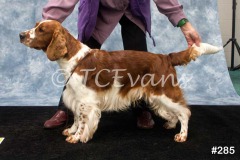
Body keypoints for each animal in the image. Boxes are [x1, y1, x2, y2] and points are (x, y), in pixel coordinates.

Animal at [19, 20, 222, 144]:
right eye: (36, 26)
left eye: (41, 30)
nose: (21, 34)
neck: (74, 59)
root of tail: (165, 57)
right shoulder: (76, 97)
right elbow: (76, 117)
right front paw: (71, 130)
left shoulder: (86, 101)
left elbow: (83, 121)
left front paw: (76, 137)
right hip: (156, 95)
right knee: (173, 113)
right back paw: (170, 125)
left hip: (165, 91)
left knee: (184, 112)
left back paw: (182, 134)